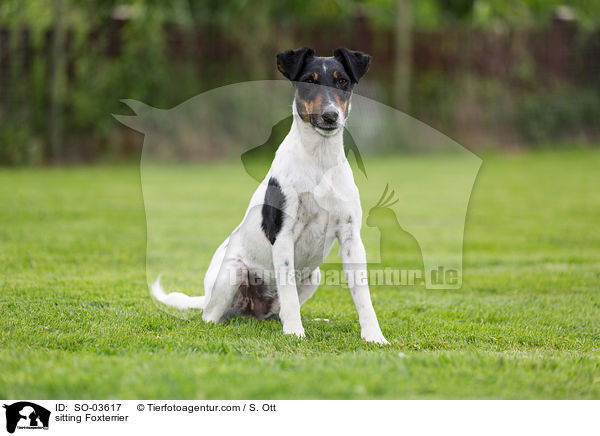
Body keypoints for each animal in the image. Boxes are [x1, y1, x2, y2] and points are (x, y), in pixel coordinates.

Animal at [152, 47, 390, 344]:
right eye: (309, 81)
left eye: (343, 82)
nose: (330, 116)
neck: (319, 161)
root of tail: (252, 311)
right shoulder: (283, 235)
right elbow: (288, 293)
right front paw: (295, 333)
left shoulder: (351, 238)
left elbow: (363, 296)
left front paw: (374, 336)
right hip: (234, 272)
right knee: (211, 316)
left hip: (313, 277)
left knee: (278, 311)